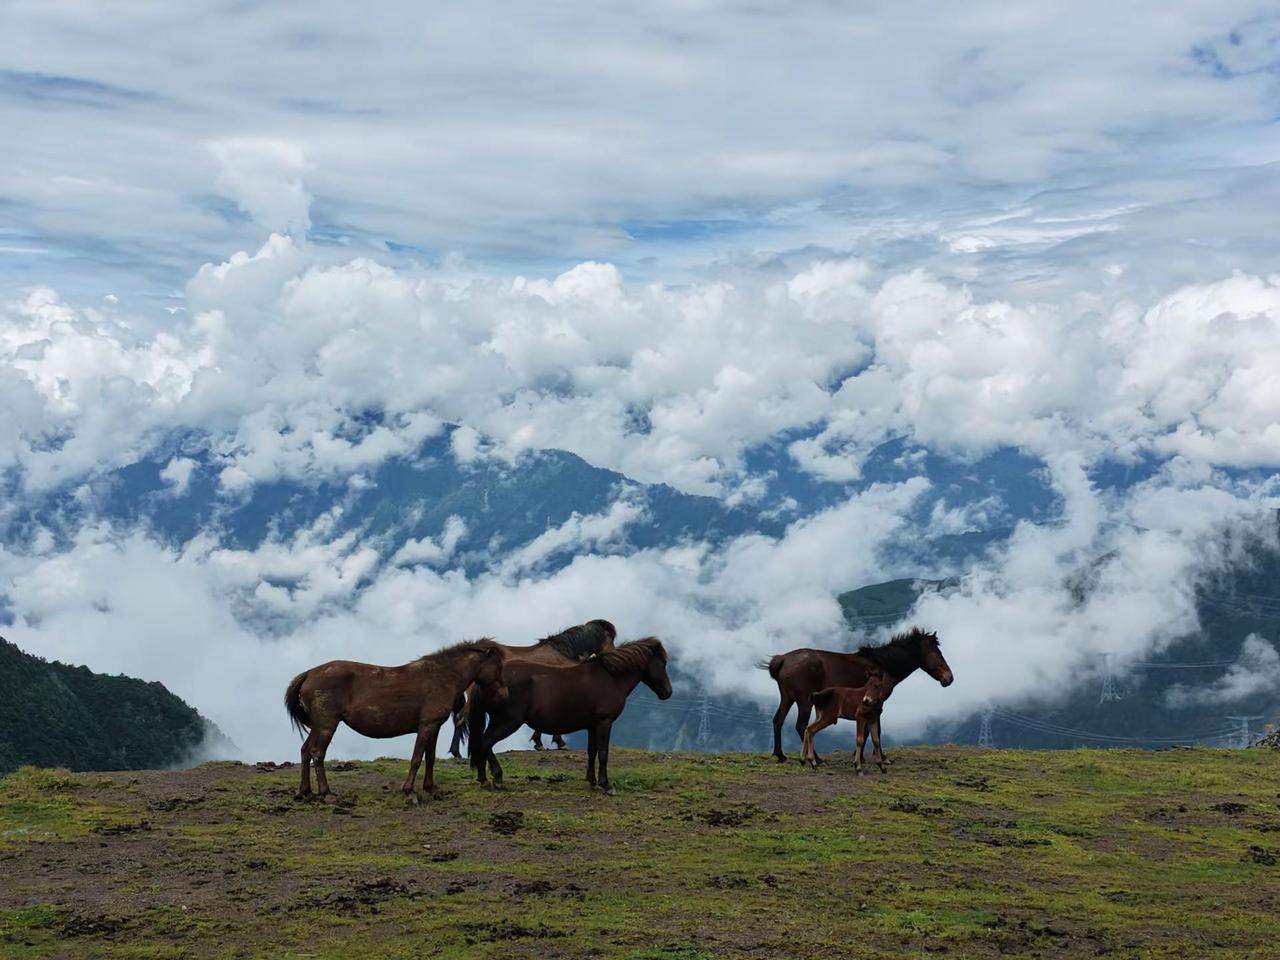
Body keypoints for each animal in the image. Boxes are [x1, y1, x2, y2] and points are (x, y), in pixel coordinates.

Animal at [284, 639, 505, 803]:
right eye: (498, 666)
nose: (504, 693)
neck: (441, 677)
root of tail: (309, 674)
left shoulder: (434, 727)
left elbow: (430, 758)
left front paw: (431, 789)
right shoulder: (426, 726)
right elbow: (416, 759)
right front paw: (410, 792)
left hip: (318, 726)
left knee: (305, 751)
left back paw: (305, 791)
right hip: (326, 725)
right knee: (317, 753)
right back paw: (326, 793)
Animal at [446, 619, 617, 758]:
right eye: (611, 638)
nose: (614, 656)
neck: (564, 654)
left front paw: (539, 743)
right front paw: (559, 743)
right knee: (461, 718)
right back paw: (457, 753)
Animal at [468, 637, 671, 795]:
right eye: (663, 663)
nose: (667, 693)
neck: (610, 678)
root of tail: (487, 678)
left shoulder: (592, 725)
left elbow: (592, 751)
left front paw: (592, 781)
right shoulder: (604, 722)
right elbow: (603, 753)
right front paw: (606, 785)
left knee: (482, 744)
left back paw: (483, 779)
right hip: (507, 722)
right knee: (486, 743)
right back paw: (497, 778)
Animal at [760, 627, 952, 764]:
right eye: (937, 653)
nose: (949, 678)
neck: (883, 667)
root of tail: (783, 659)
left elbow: (867, 731)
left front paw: (862, 756)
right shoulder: (877, 703)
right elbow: (875, 731)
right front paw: (879, 757)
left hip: (787, 698)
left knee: (778, 721)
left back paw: (780, 755)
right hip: (804, 702)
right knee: (802, 727)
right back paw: (816, 759)